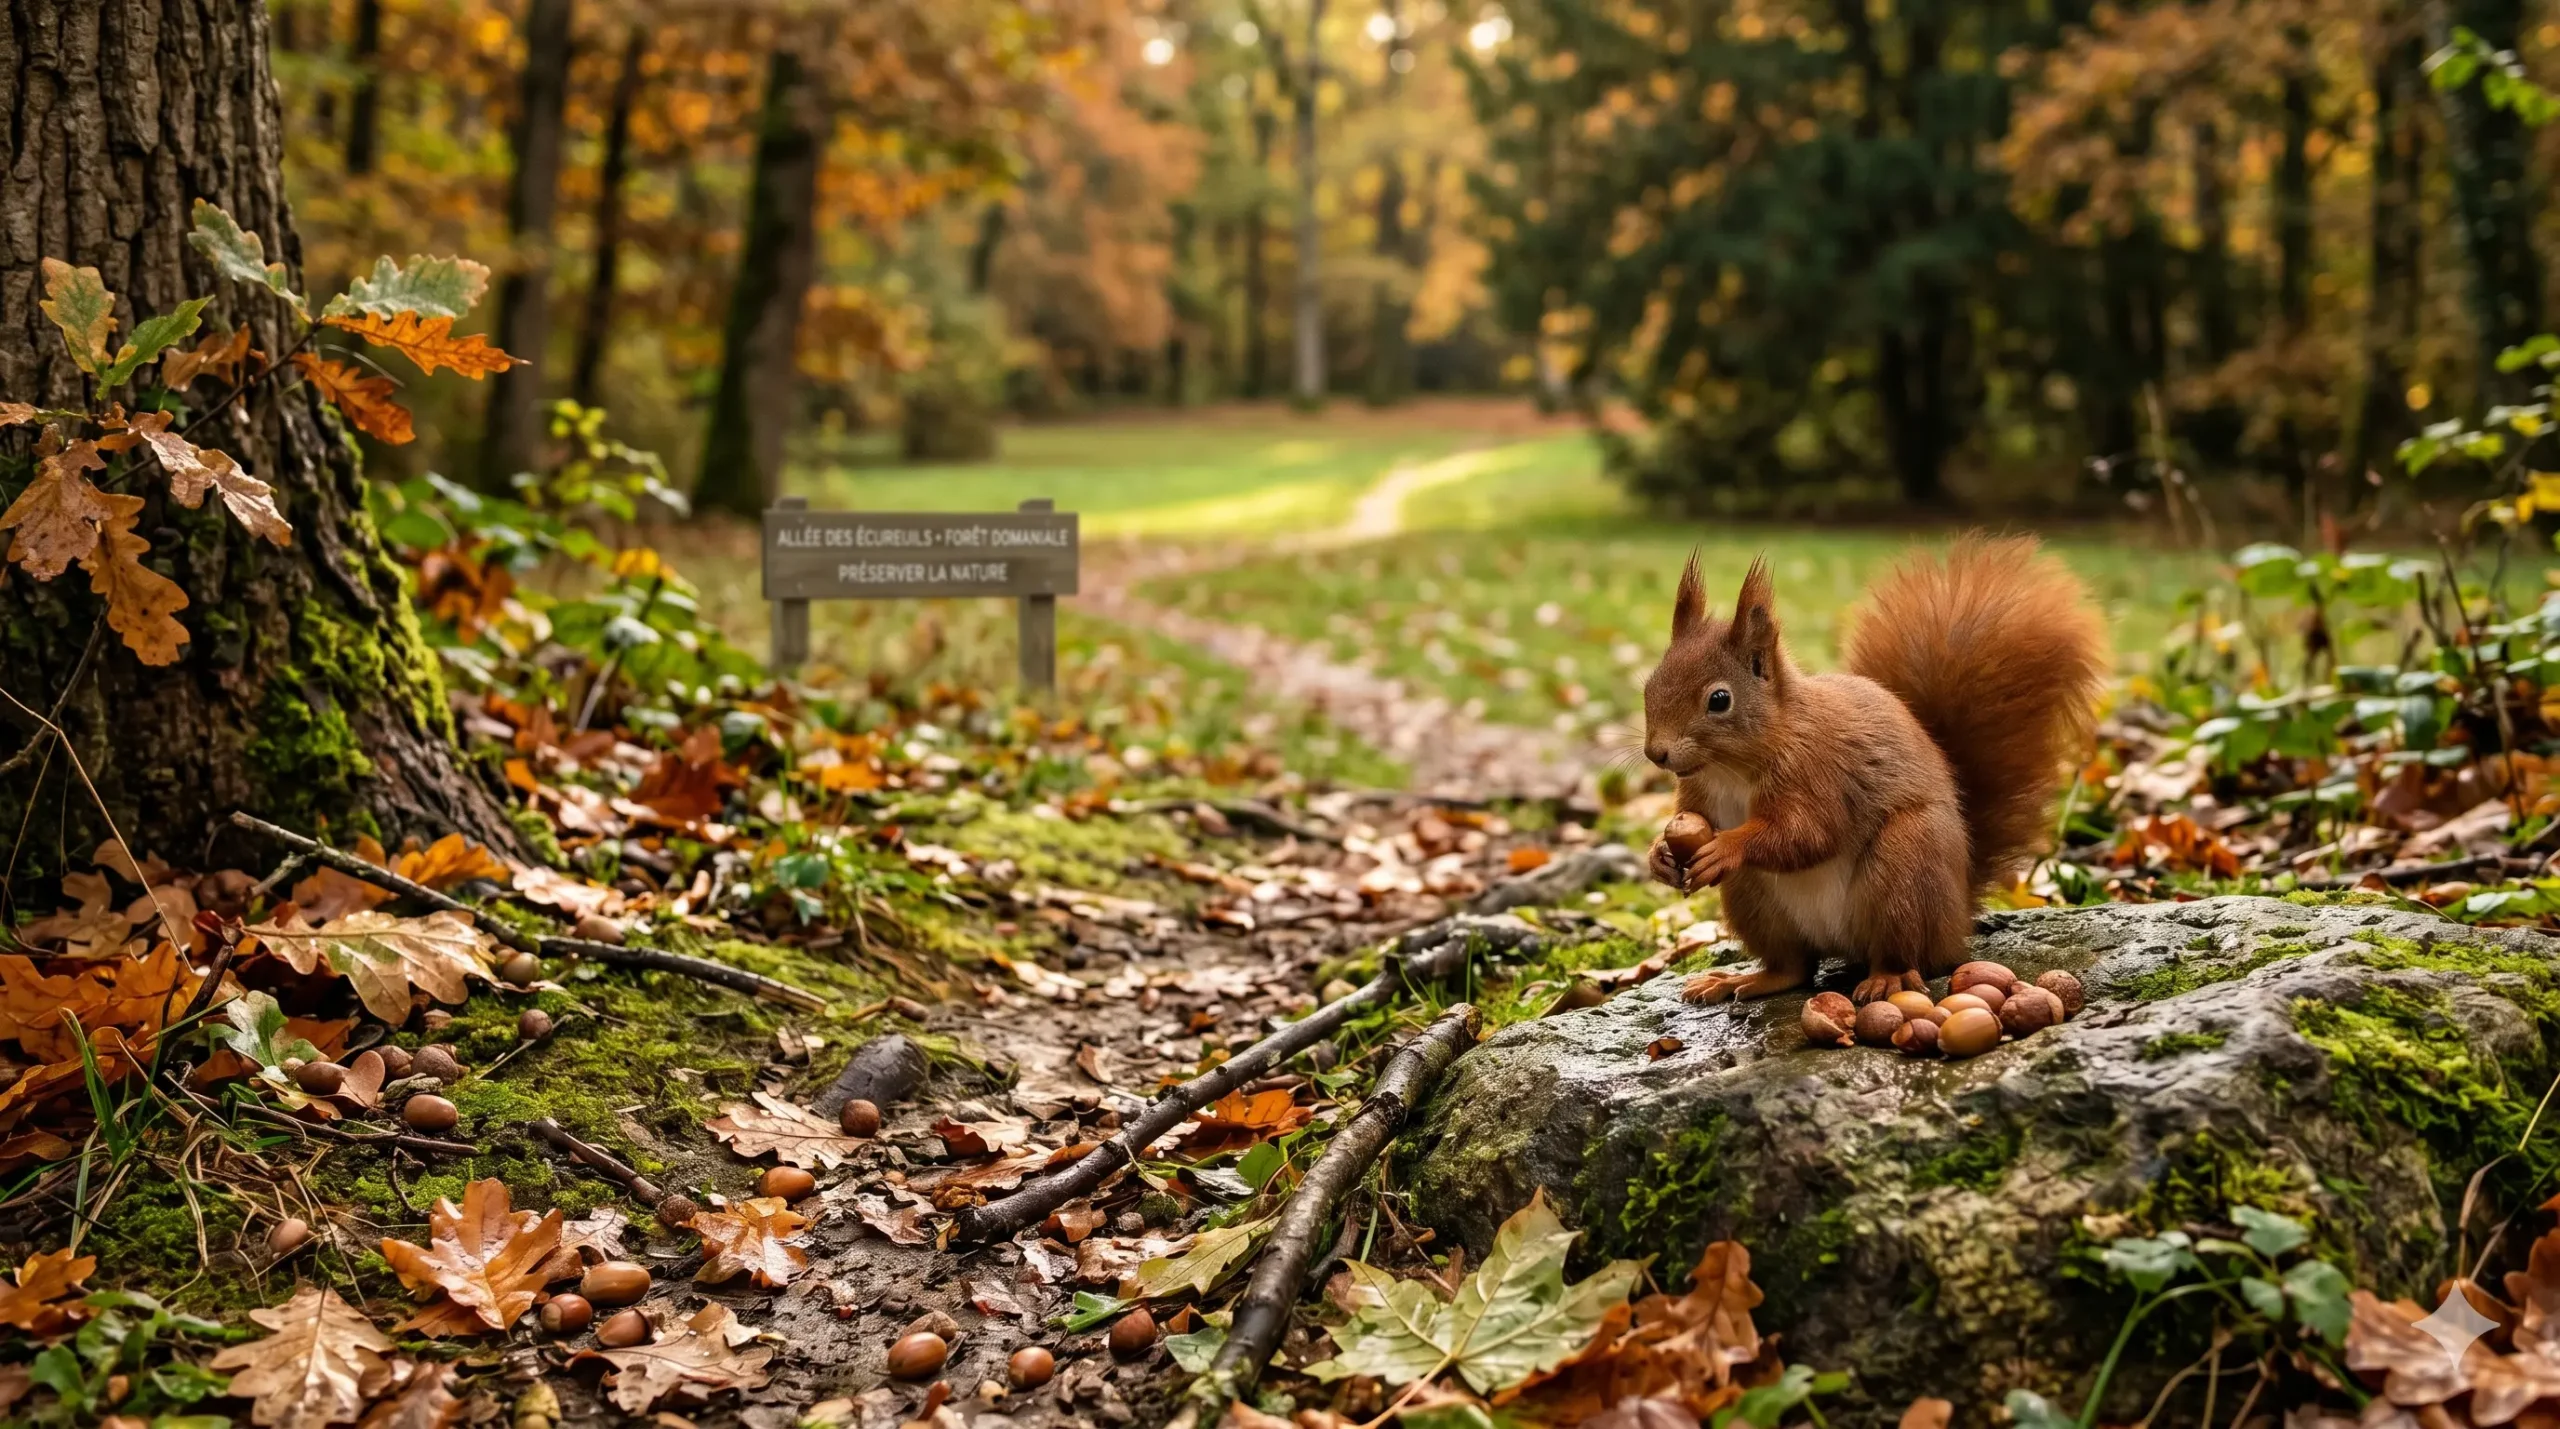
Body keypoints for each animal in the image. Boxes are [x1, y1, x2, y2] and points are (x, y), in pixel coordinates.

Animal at [1640, 535, 2109, 1006]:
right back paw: (1744, 980)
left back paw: (1888, 978)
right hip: (1752, 897)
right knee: (1794, 967)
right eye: (1649, 685)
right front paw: (1659, 856)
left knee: (1900, 952)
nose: (1656, 753)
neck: (1732, 767)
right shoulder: (1699, 790)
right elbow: (1698, 821)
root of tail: (1956, 918)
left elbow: (1807, 834)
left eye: (1719, 700)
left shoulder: (1817, 772)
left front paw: (1726, 847)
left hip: (1905, 865)